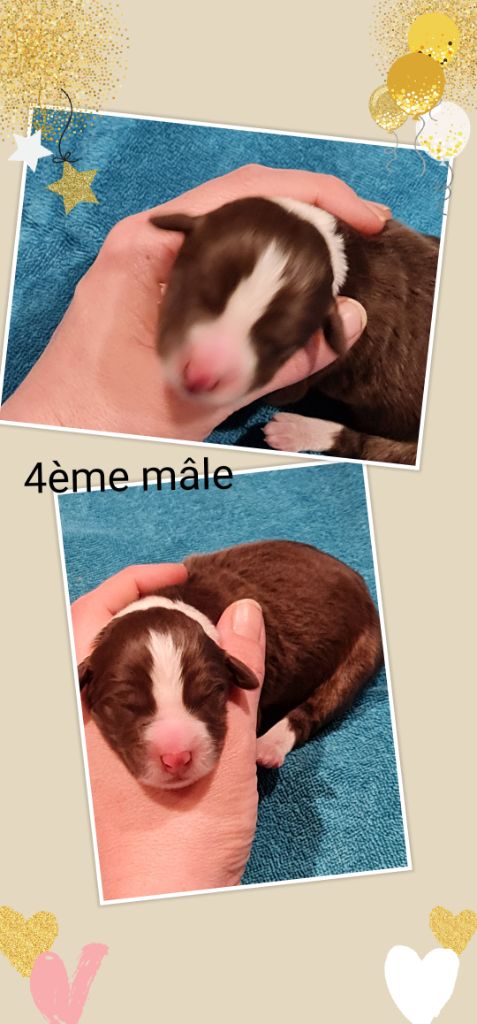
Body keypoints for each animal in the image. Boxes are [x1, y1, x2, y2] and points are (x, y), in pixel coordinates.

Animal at [79, 540, 383, 790]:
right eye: (125, 704)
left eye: (209, 694)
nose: (177, 758)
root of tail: (361, 585)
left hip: (359, 657)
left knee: (315, 709)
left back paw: (269, 747)